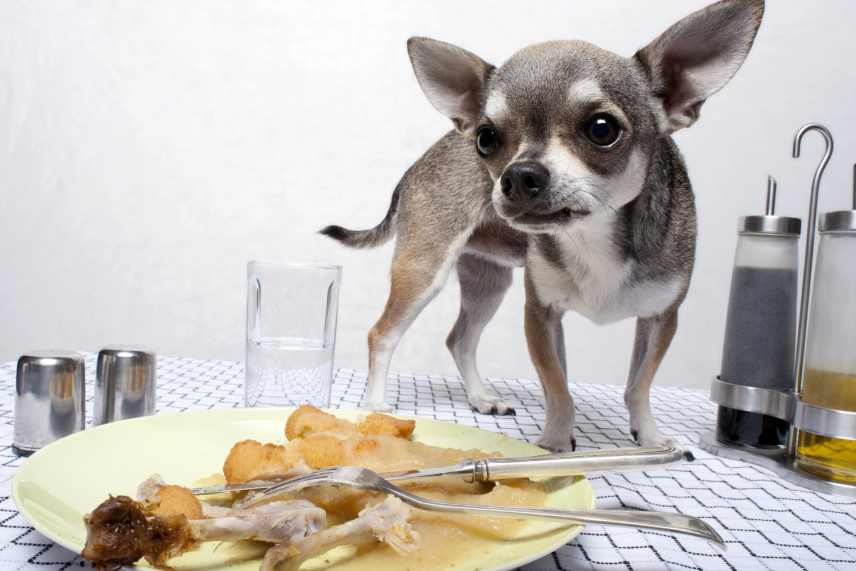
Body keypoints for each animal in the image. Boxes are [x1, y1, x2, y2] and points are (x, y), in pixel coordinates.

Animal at [320, 0, 764, 452]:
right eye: (486, 138)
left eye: (602, 129)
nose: (518, 175)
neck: (591, 238)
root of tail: (418, 163)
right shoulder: (541, 313)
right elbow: (558, 386)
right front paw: (554, 442)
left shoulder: (661, 317)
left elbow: (637, 385)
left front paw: (649, 436)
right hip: (425, 270)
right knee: (382, 334)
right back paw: (375, 408)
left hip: (489, 282)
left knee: (460, 339)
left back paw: (481, 398)